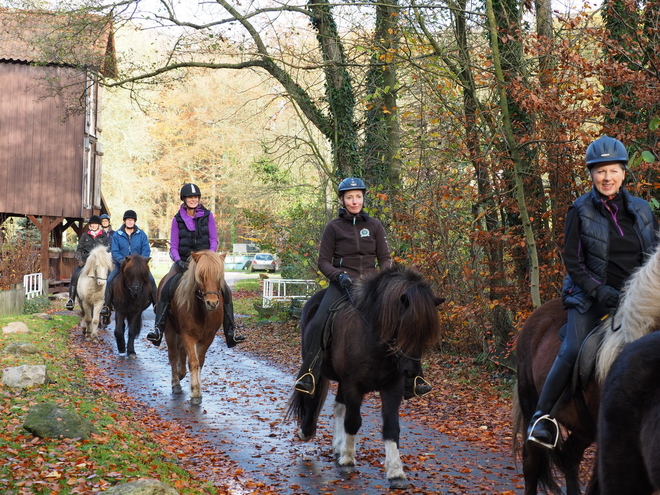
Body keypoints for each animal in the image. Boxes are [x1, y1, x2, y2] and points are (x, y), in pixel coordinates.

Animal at [161, 252, 228, 406]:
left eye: (219, 276)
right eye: (201, 276)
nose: (212, 303)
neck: (202, 311)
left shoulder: (208, 337)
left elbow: (200, 362)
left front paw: (197, 390)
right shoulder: (188, 335)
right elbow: (193, 362)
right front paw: (195, 393)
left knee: (181, 352)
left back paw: (181, 373)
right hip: (169, 331)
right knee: (173, 355)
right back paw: (176, 383)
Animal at [284, 266, 444, 490]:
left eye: (425, 335)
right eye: (405, 328)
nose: (411, 372)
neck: (375, 340)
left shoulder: (391, 388)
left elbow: (391, 427)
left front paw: (396, 472)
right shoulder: (353, 384)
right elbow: (353, 421)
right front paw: (348, 461)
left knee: (339, 406)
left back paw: (338, 446)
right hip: (317, 368)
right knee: (312, 397)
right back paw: (307, 432)